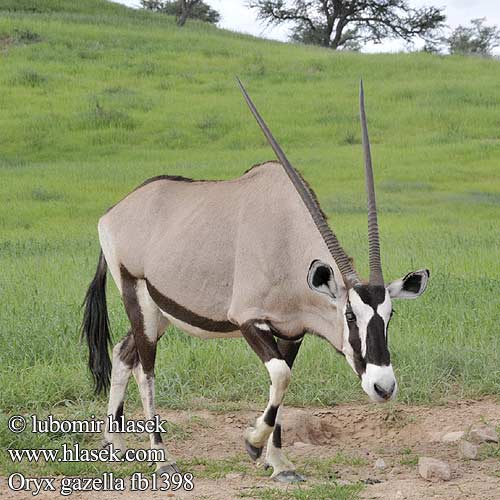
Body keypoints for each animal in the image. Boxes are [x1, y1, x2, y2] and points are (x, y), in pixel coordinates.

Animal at [82, 80, 430, 482]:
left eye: (389, 315)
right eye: (349, 315)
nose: (383, 386)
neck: (285, 237)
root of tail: (113, 212)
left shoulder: (291, 331)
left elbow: (284, 381)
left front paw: (279, 463)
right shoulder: (250, 319)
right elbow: (280, 376)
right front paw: (252, 443)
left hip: (160, 310)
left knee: (123, 353)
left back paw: (114, 443)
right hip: (135, 295)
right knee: (145, 368)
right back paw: (161, 456)